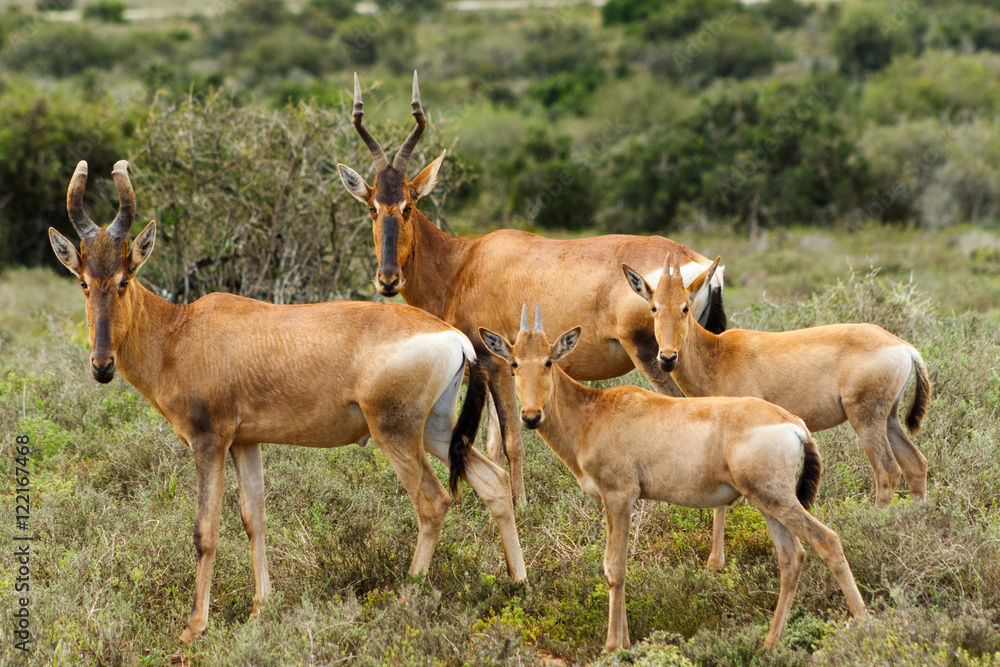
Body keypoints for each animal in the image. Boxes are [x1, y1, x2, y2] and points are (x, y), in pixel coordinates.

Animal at [49, 160, 528, 640]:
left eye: (124, 279)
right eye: (84, 281)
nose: (102, 365)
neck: (180, 331)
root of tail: (456, 339)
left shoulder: (209, 442)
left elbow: (205, 530)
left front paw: (194, 628)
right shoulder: (245, 442)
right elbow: (253, 517)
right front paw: (260, 610)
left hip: (396, 433)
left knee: (433, 502)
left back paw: (405, 601)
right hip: (436, 429)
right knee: (493, 481)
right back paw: (518, 583)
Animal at [338, 73, 728, 504]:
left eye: (409, 204)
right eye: (372, 207)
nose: (388, 279)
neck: (465, 261)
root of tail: (700, 265)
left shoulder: (491, 360)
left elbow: (513, 440)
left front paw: (521, 506)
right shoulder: (497, 362)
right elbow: (494, 442)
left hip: (655, 355)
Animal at [478, 308, 868, 652]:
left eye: (548, 360)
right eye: (514, 363)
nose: (530, 416)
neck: (596, 411)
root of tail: (793, 423)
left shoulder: (620, 497)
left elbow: (615, 568)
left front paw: (612, 647)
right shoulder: (615, 502)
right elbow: (614, 566)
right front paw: (626, 642)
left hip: (776, 499)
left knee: (827, 541)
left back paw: (864, 625)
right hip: (769, 503)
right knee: (791, 558)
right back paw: (769, 644)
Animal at [624, 253, 928, 572]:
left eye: (685, 306)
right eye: (654, 307)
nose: (667, 358)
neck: (718, 354)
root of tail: (906, 348)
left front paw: (715, 563)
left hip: (866, 418)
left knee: (887, 471)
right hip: (889, 418)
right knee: (915, 464)